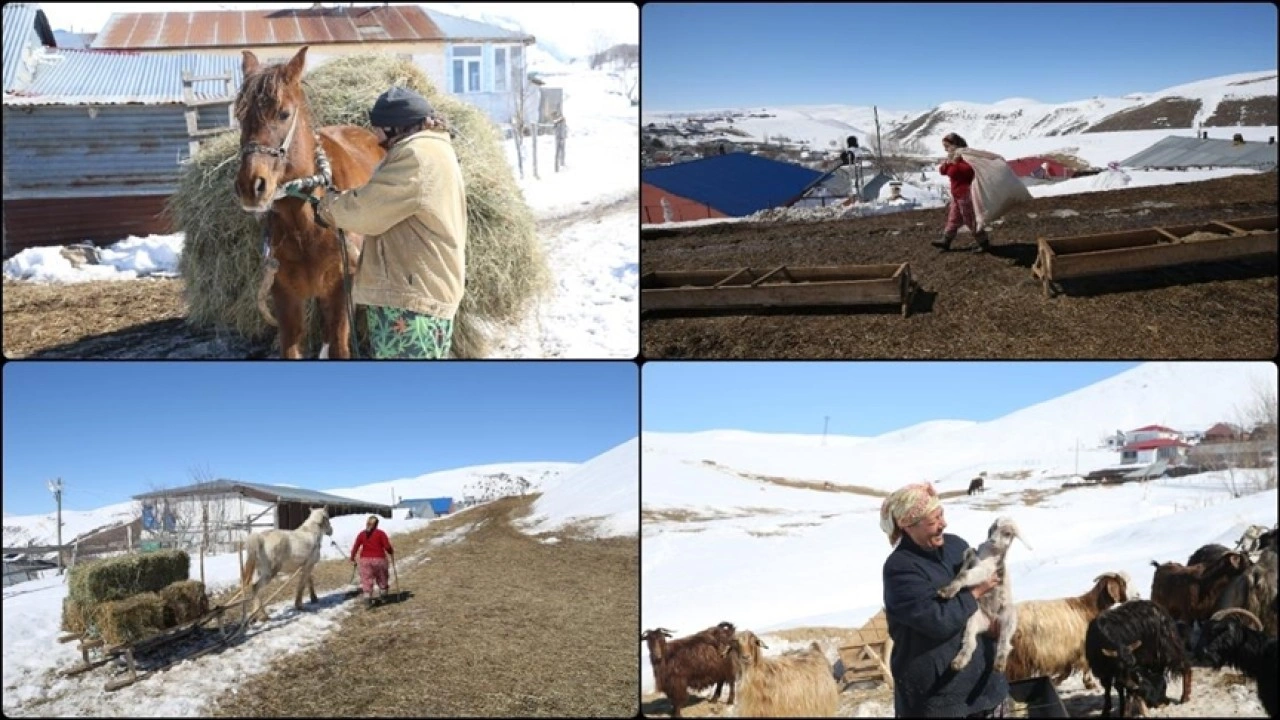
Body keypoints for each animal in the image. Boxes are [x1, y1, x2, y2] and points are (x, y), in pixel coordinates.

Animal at [234, 46, 384, 356]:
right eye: (240, 116)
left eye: (283, 114)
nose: (251, 186)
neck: (306, 225)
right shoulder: (285, 296)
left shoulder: (340, 290)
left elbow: (339, 345)